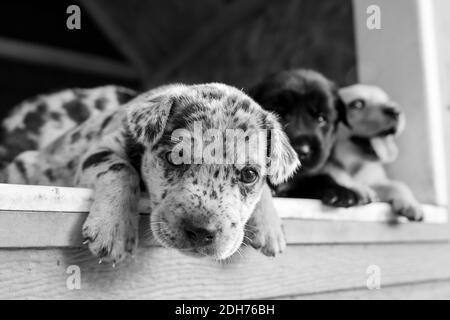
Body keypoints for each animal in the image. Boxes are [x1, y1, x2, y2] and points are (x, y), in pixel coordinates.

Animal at [2, 83, 298, 262]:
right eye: (174, 159)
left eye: (249, 174)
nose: (201, 232)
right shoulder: (101, 148)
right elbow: (121, 169)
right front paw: (114, 229)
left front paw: (271, 227)